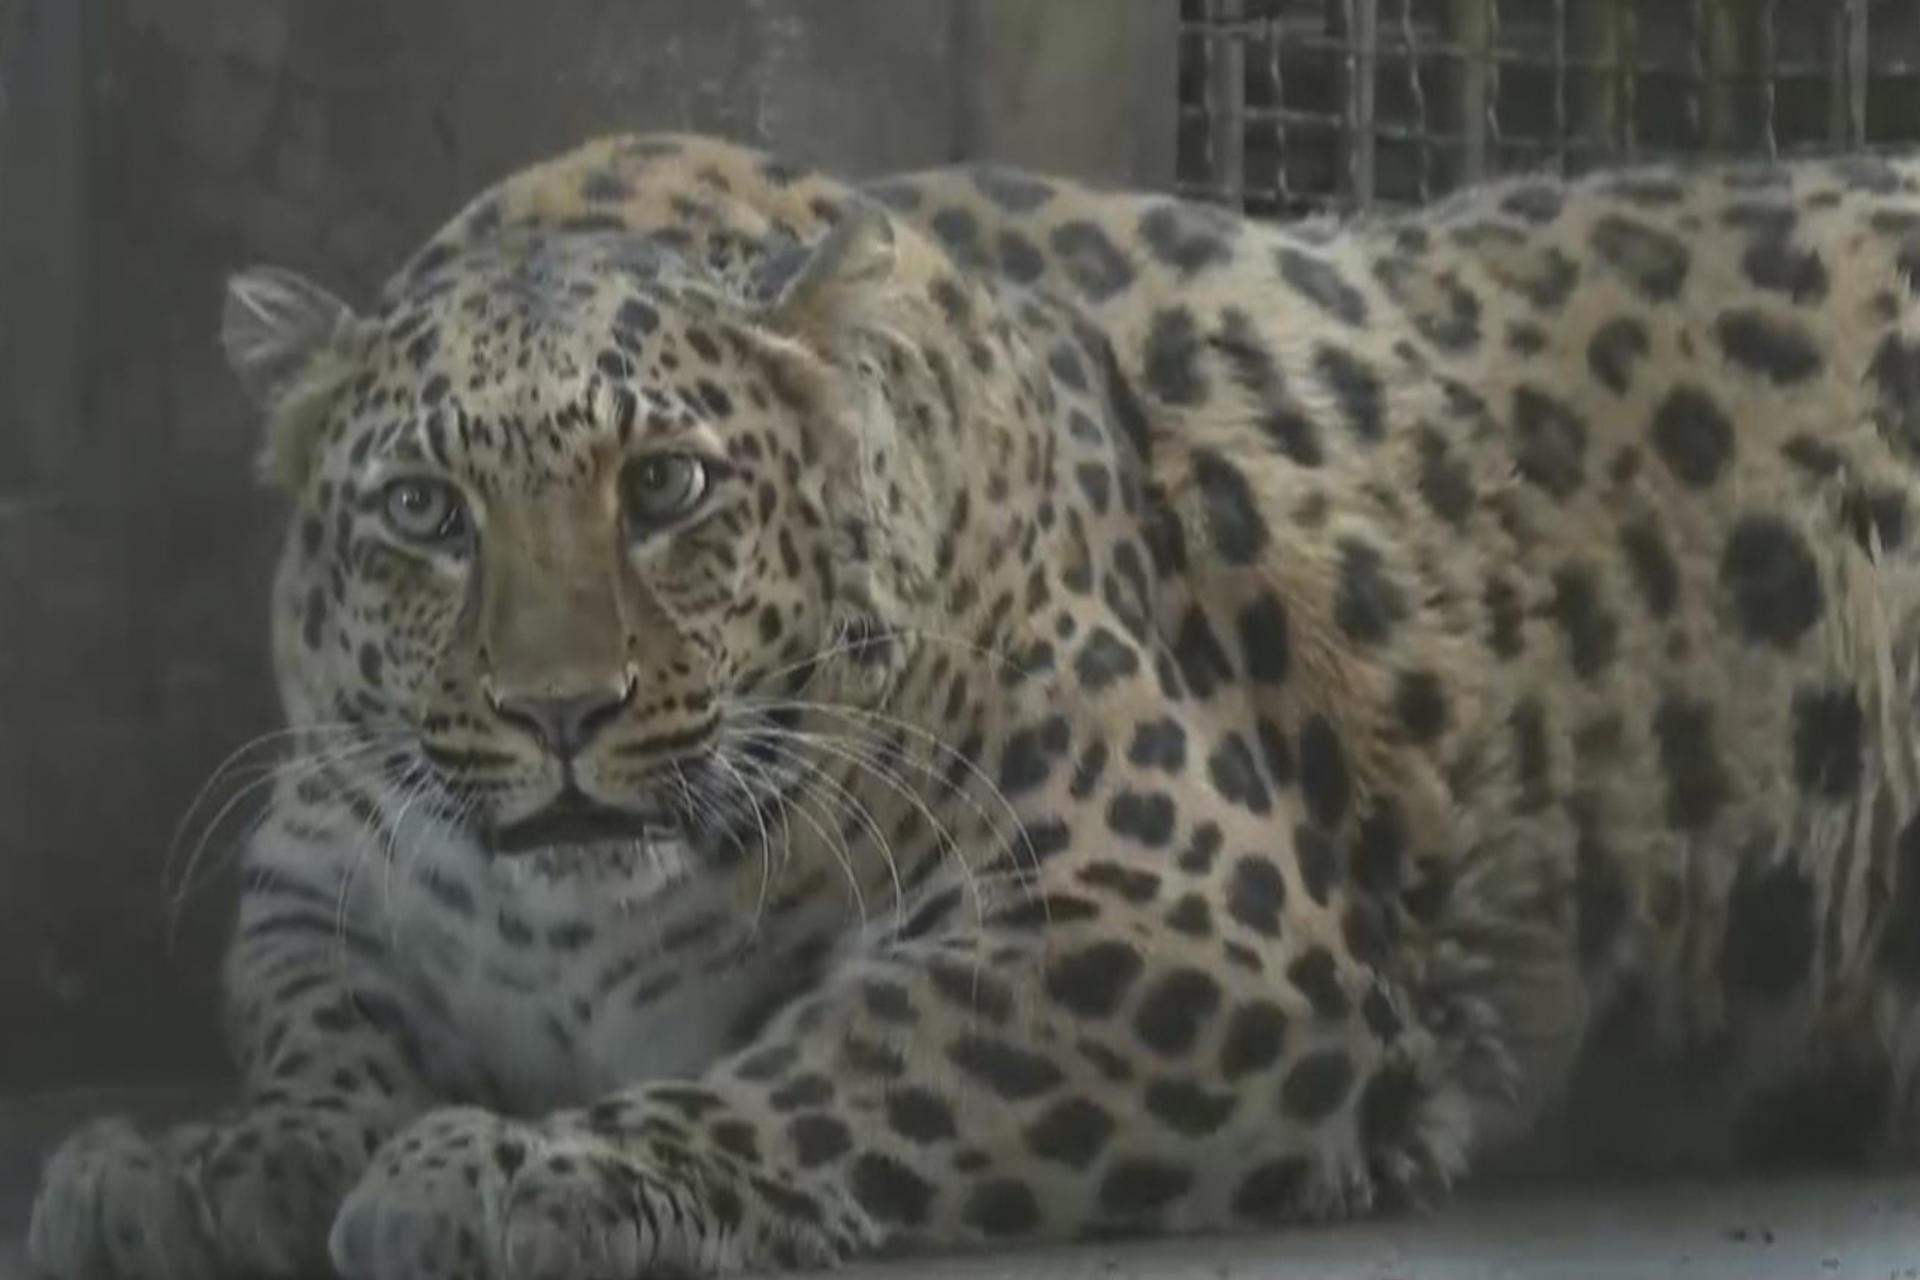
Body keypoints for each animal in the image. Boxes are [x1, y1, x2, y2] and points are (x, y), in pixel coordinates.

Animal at [27, 129, 1920, 1280]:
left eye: (667, 488)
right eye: (426, 514)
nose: (563, 713)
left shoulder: (1172, 919)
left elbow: (845, 1063)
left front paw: (511, 1175)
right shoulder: (314, 887)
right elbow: (319, 1032)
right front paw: (202, 1163)